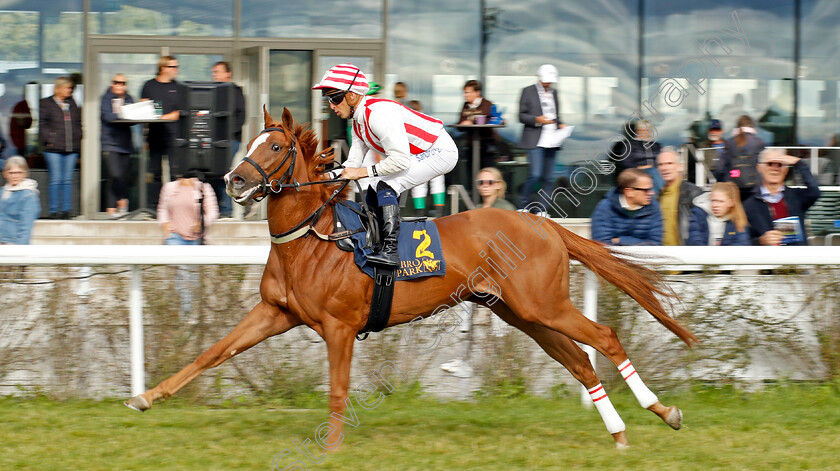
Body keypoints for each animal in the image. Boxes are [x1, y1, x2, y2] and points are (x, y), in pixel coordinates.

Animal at [126, 108, 696, 450]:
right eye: (250, 140)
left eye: (275, 148)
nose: (233, 180)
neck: (315, 238)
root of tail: (543, 223)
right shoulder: (275, 312)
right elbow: (212, 353)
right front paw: (146, 397)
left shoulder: (339, 327)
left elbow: (338, 388)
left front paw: (330, 447)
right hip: (521, 313)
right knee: (578, 361)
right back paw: (620, 431)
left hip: (542, 305)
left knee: (604, 336)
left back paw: (663, 410)